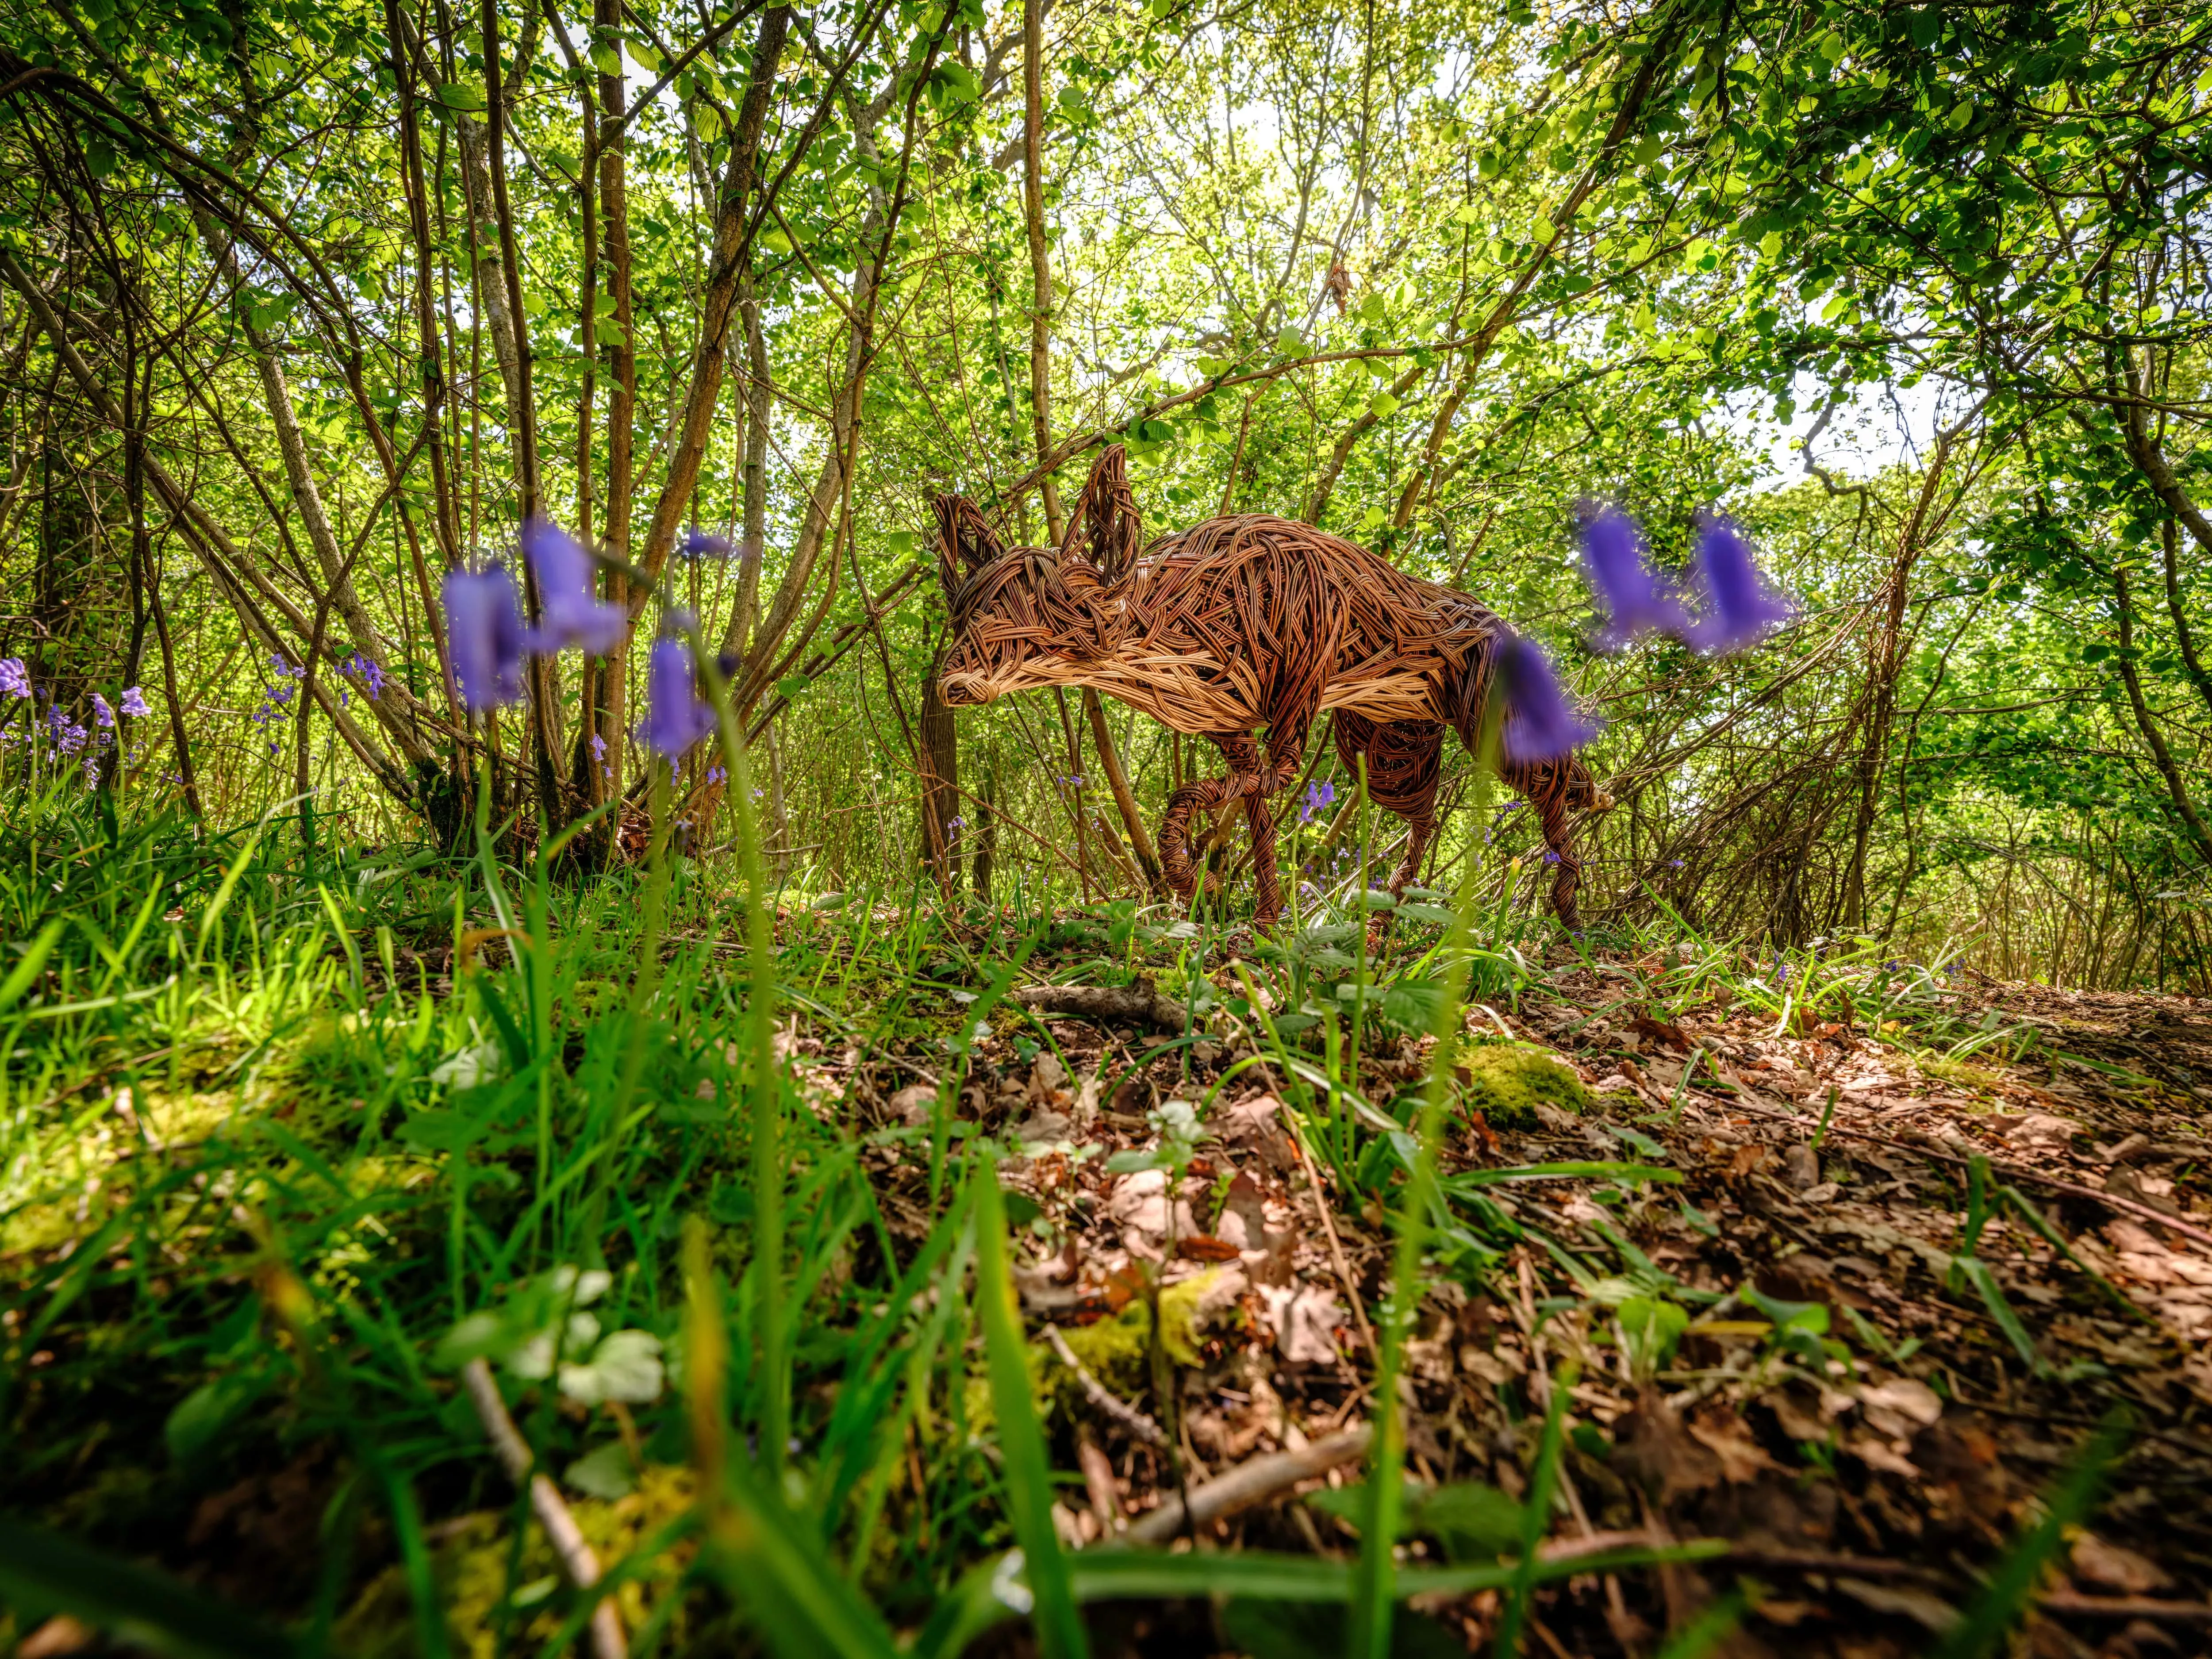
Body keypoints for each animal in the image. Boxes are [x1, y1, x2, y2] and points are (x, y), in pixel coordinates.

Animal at [933, 449, 1610, 929]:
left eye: (1038, 613)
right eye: (965, 615)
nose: (952, 684)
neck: (1172, 623)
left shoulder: (1293, 700)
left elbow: (1217, 792)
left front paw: (1193, 877)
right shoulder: (1229, 725)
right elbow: (1252, 813)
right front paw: (1259, 918)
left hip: (1490, 730)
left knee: (1558, 795)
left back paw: (1571, 917)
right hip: (1387, 750)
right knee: (1424, 820)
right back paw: (1391, 910)